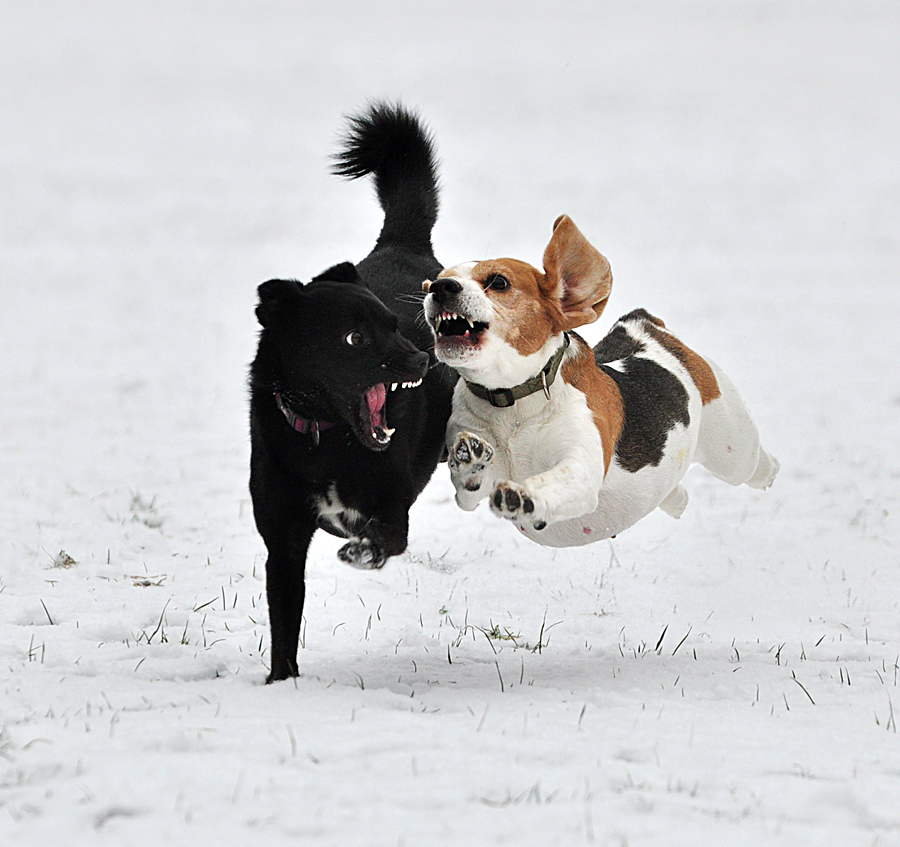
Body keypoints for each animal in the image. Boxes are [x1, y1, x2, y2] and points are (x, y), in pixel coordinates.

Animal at [250, 104, 454, 684]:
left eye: (394, 325)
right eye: (353, 339)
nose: (422, 360)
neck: (325, 440)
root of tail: (401, 243)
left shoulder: (393, 507)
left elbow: (385, 538)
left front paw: (362, 552)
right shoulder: (283, 540)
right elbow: (283, 620)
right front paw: (280, 684)